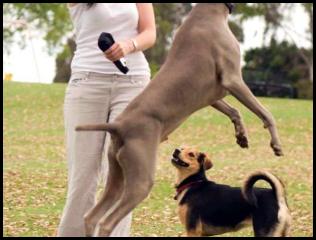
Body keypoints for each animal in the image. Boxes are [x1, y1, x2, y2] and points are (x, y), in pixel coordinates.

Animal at [76, 3, 284, 236]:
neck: (211, 12)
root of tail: (118, 125)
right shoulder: (233, 79)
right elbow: (265, 112)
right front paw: (276, 144)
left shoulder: (212, 94)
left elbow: (235, 111)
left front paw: (241, 136)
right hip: (141, 178)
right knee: (106, 222)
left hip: (117, 172)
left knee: (91, 216)